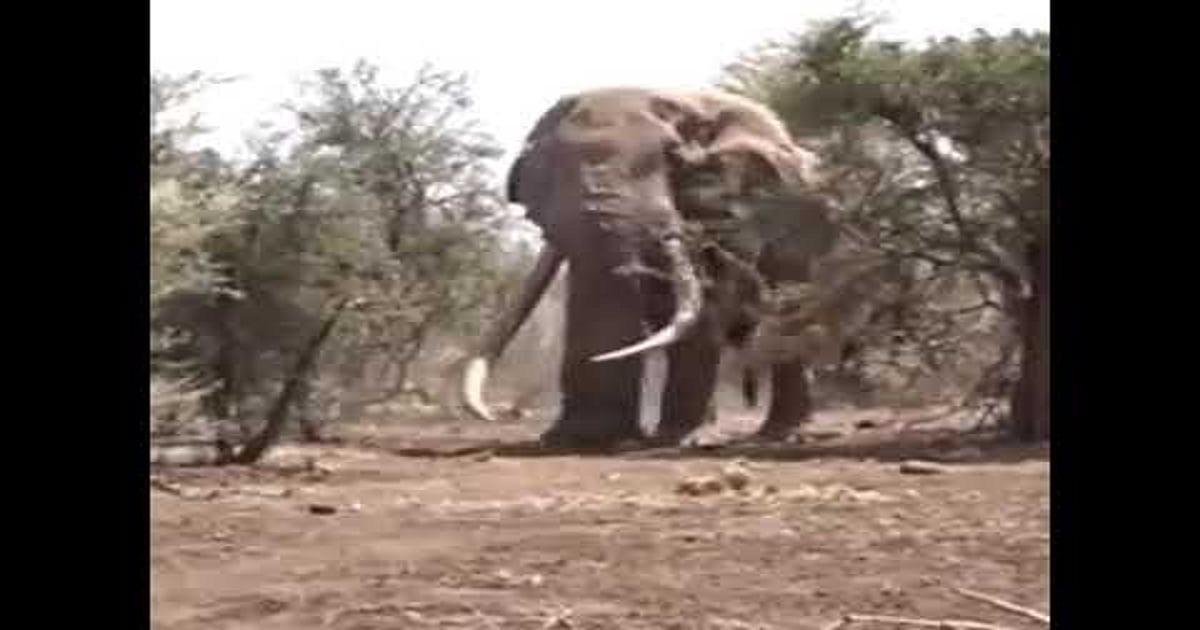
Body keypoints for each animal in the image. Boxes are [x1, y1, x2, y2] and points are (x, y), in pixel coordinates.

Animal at [460, 86, 842, 449]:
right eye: (549, 168)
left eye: (674, 158)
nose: (496, 415)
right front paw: (576, 440)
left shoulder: (730, 212)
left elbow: (708, 301)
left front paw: (680, 441)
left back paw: (780, 435)